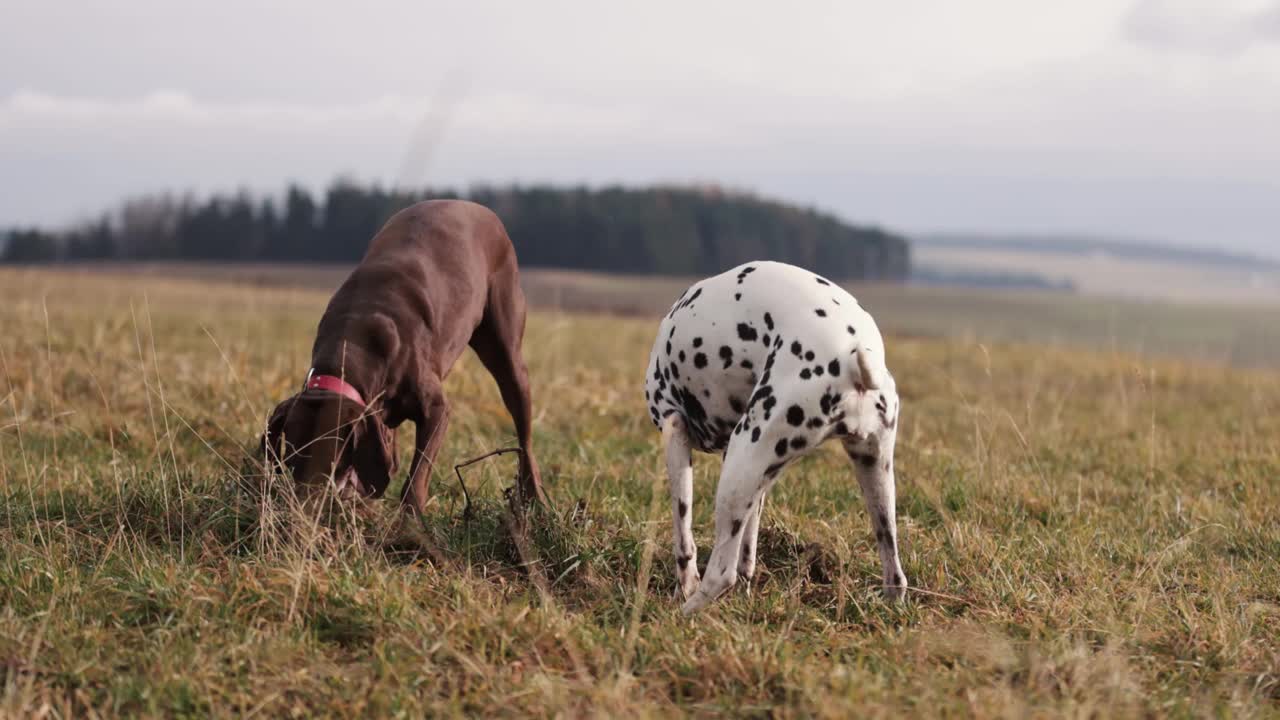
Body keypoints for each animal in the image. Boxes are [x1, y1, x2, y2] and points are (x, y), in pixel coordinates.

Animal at [257, 198, 542, 507]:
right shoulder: (376, 420)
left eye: (330, 461)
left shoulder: (436, 410)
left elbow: (416, 476)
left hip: (507, 352)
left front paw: (410, 517)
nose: (303, 508)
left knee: (525, 435)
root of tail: (477, 206)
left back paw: (535, 497)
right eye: (292, 459)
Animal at [645, 257, 906, 609]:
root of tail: (853, 355)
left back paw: (682, 613)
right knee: (896, 574)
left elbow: (684, 535)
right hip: (872, 475)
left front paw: (684, 586)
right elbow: (748, 548)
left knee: (720, 574)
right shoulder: (758, 479)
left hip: (737, 469)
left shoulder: (675, 432)